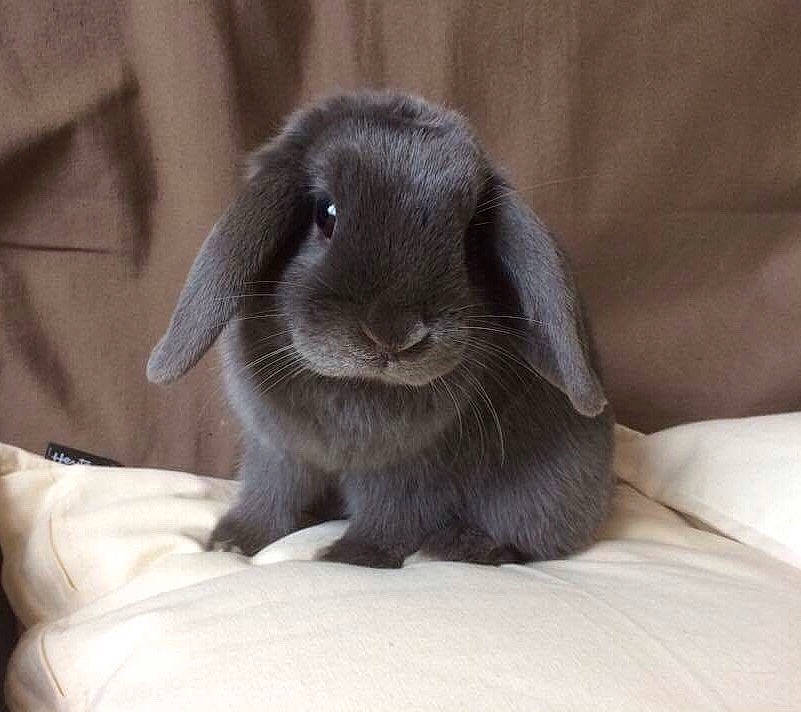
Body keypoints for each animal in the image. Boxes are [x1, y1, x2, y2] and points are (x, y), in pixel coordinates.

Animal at [146, 91, 614, 568]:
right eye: (326, 213)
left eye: (467, 238)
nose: (395, 334)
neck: (357, 385)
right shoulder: (278, 450)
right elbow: (270, 495)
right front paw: (231, 541)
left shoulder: (412, 471)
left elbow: (390, 518)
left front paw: (348, 557)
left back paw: (459, 544)